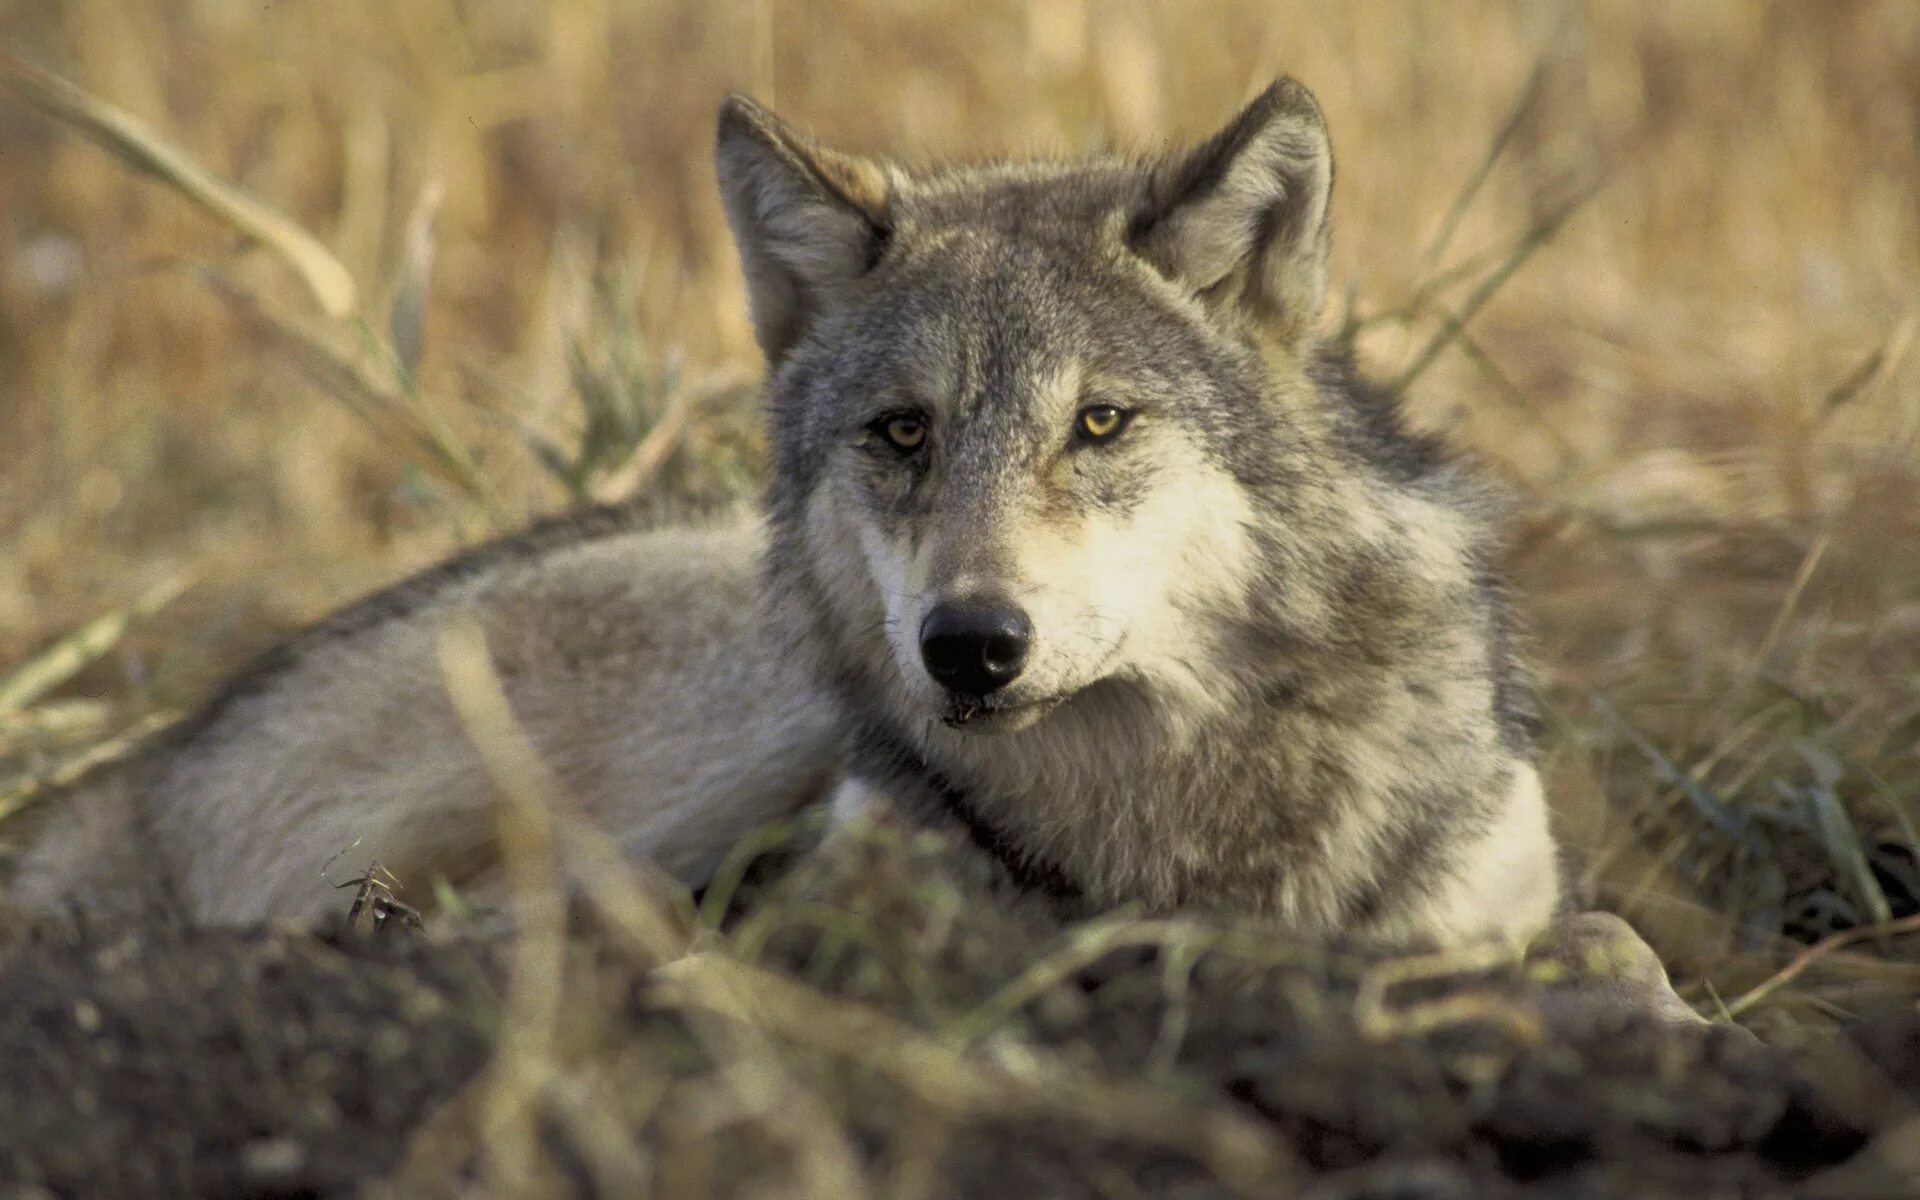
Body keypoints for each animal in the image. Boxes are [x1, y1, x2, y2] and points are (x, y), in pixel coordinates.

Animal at [7, 79, 1566, 948]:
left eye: (1100, 423)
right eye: (902, 433)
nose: (970, 647)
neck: (1169, 825)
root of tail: (144, 773)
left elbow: (1590, 943)